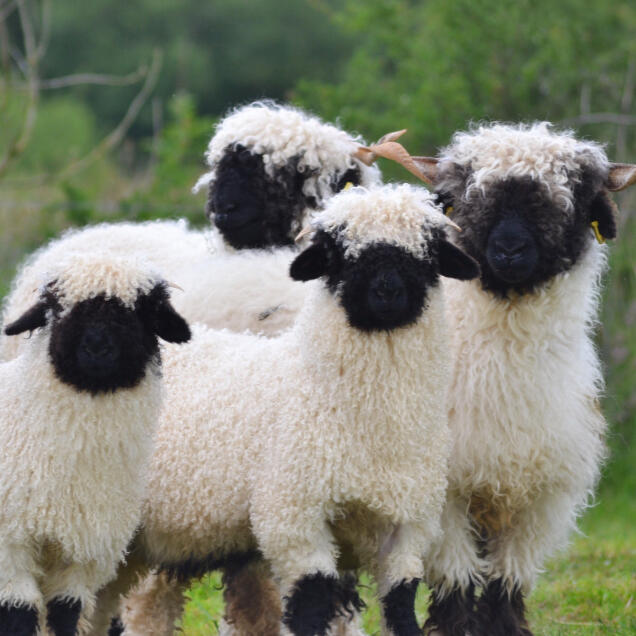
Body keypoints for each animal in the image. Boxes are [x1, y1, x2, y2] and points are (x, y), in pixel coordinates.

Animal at [0, 253, 190, 636]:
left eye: (141, 311)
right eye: (58, 309)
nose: (97, 348)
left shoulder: (84, 551)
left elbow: (64, 614)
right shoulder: (10, 547)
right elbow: (19, 615)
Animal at [87, 184, 480, 636]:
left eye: (427, 252)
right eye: (338, 252)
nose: (387, 292)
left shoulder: (408, 531)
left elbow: (401, 610)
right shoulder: (295, 519)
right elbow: (310, 607)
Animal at [405, 122, 636, 636]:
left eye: (570, 196)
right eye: (465, 197)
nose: (509, 249)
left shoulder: (539, 496)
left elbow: (505, 581)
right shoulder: (445, 493)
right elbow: (455, 578)